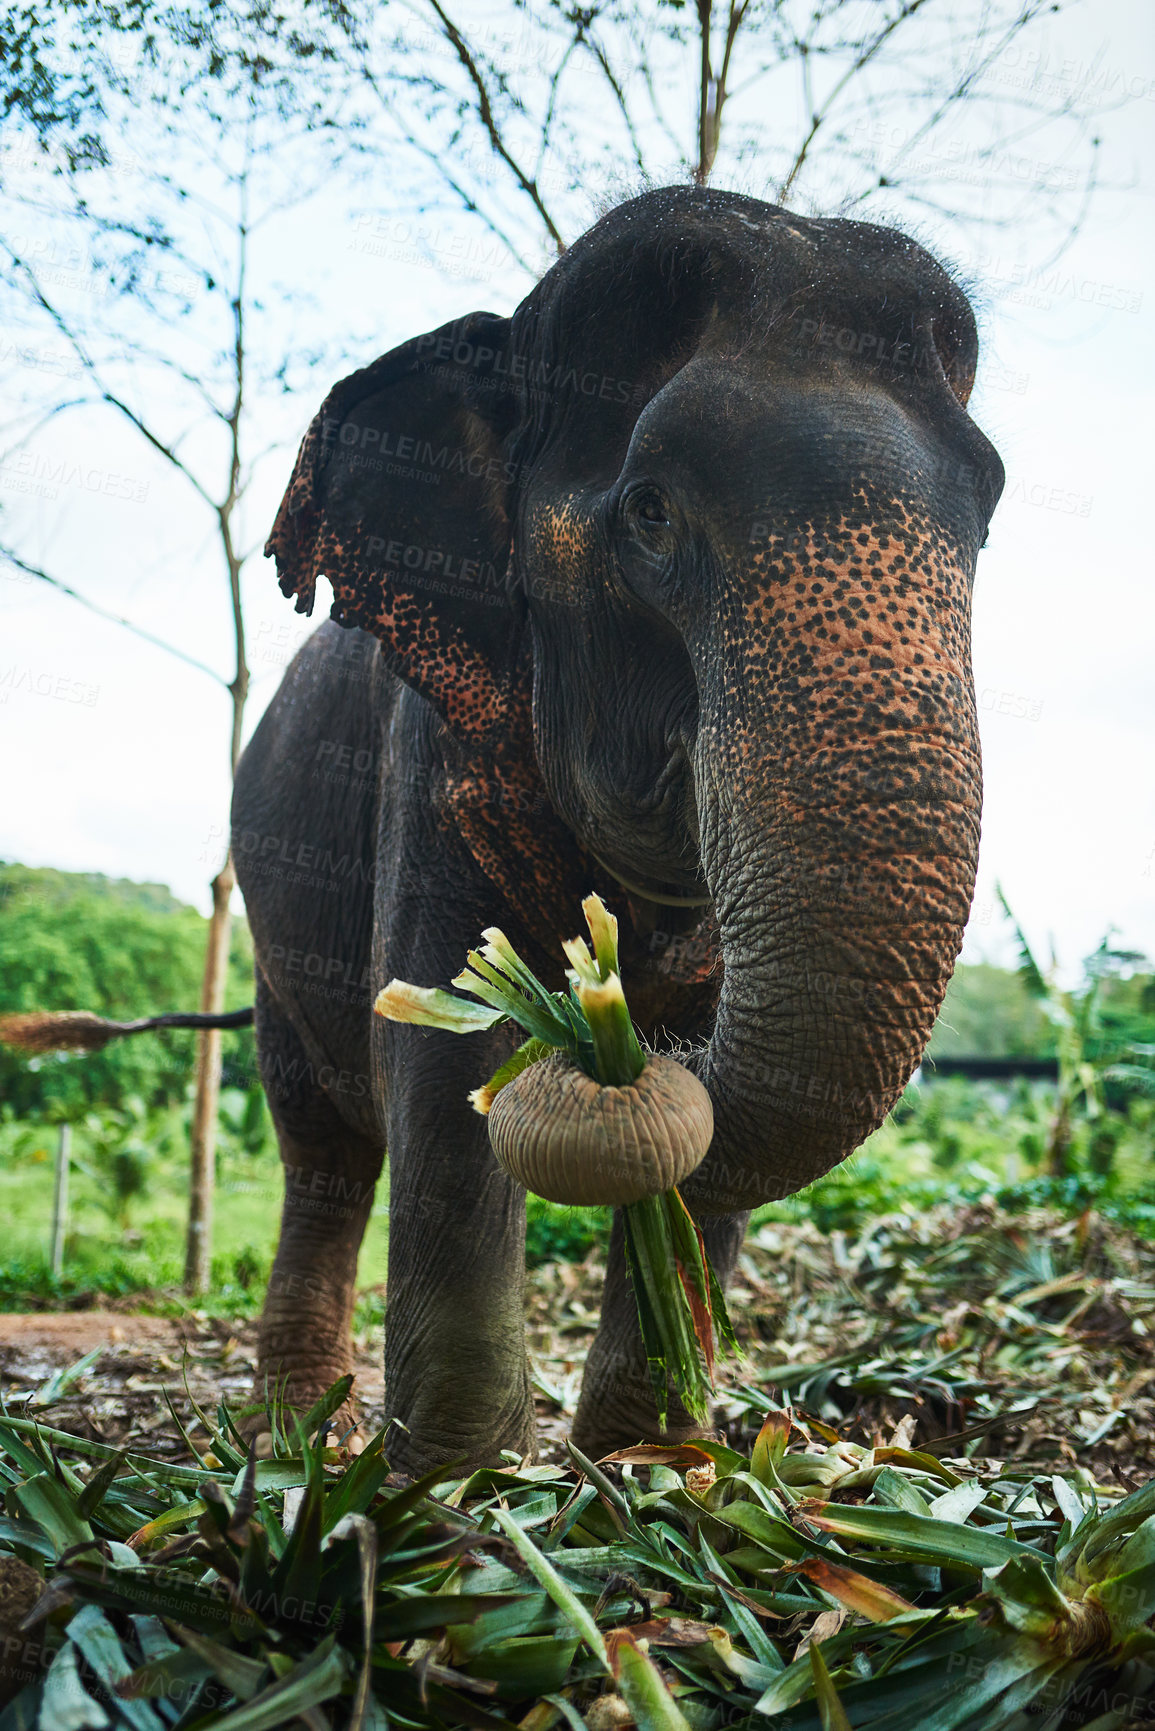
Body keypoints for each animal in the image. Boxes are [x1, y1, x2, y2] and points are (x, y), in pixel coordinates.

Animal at [228, 182, 1004, 1467]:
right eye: (650, 512)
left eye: (986, 516)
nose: (622, 1034)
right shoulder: (431, 750)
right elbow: (446, 1058)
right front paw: (459, 1483)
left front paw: (656, 1469)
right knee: (324, 1149)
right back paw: (298, 1441)